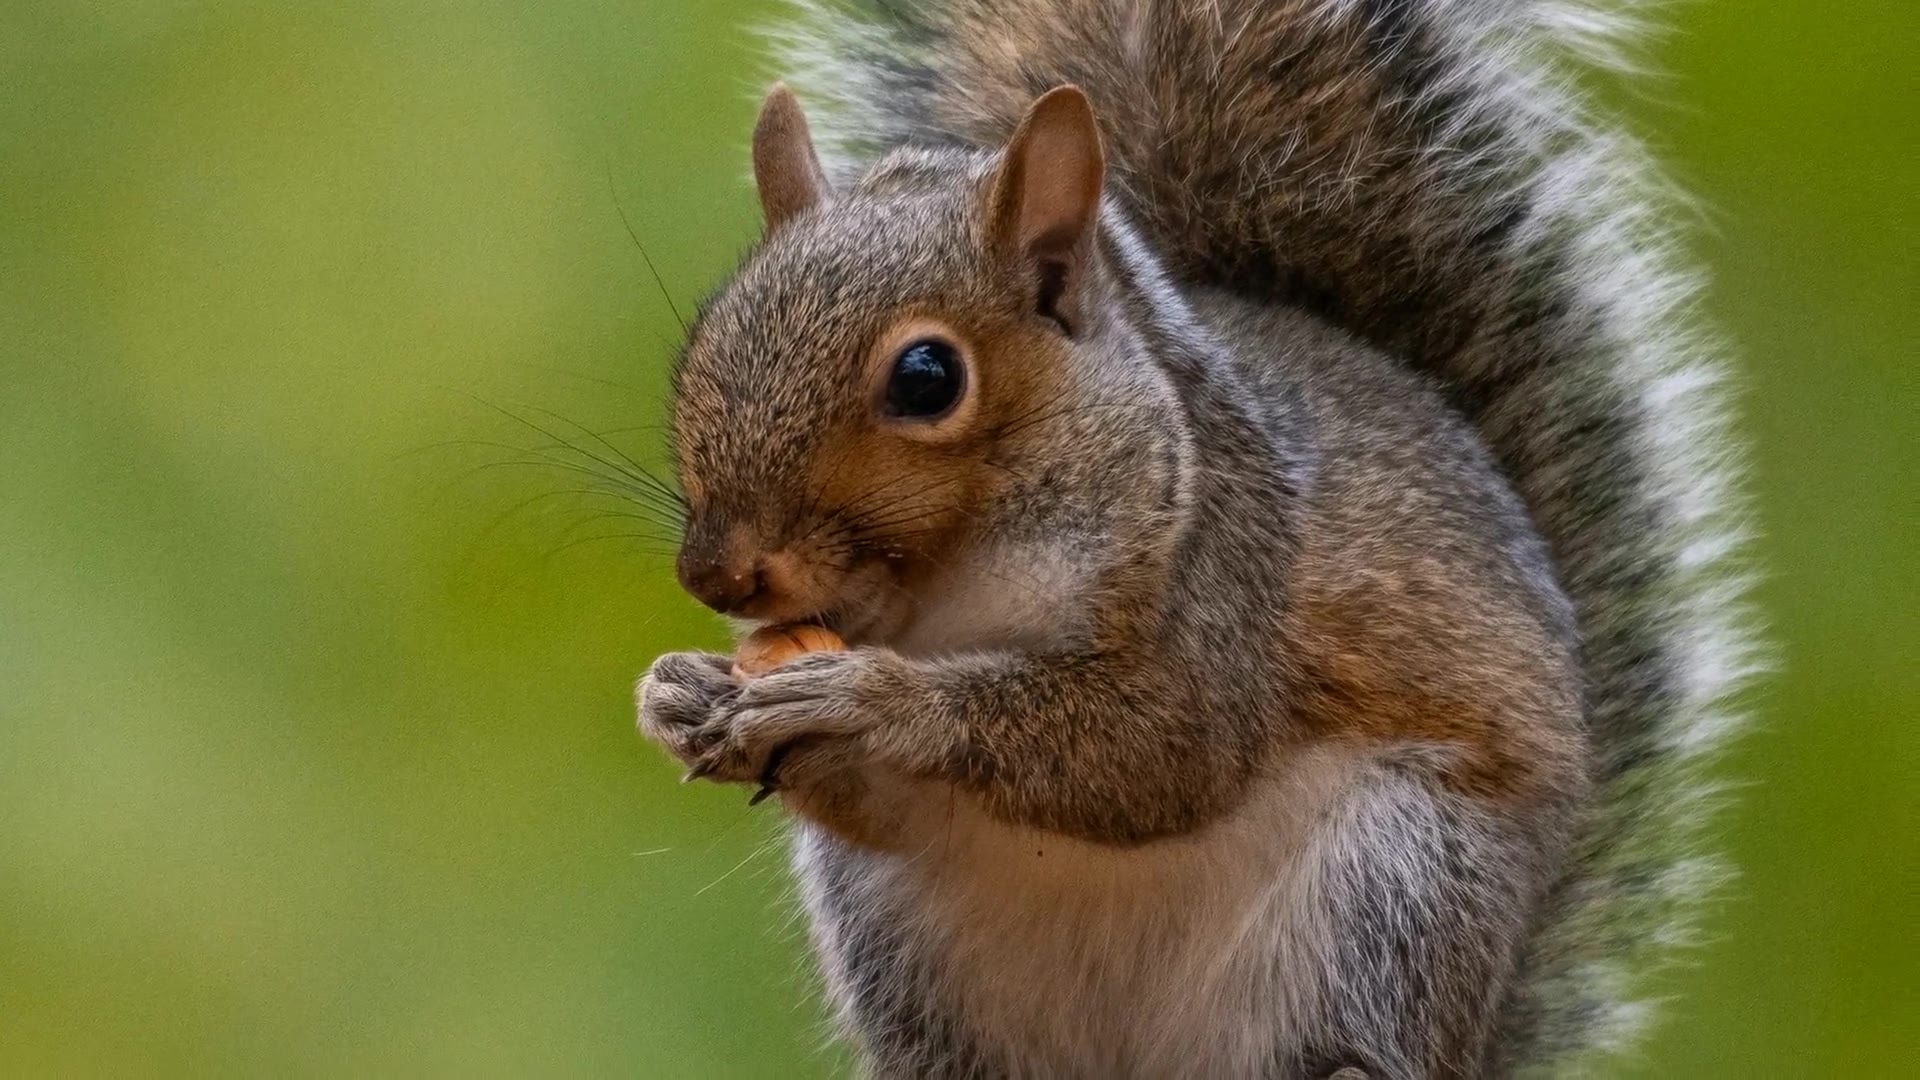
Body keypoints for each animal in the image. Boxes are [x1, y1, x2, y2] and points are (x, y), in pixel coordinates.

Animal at [635, 1, 1752, 1076]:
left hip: (1401, 886)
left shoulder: (1223, 578)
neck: (949, 584)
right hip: (896, 945)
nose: (716, 575)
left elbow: (1160, 748)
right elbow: (882, 808)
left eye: (926, 378)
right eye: (708, 335)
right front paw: (682, 694)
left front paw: (870, 697)